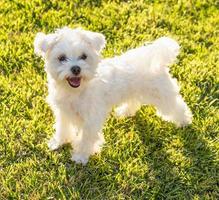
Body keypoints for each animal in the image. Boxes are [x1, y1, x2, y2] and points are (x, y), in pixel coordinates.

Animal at [33, 27, 192, 165]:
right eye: (61, 58)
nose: (76, 69)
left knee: (176, 106)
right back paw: (125, 112)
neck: (76, 92)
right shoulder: (63, 112)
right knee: (134, 102)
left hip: (162, 95)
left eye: (84, 56)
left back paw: (185, 121)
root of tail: (157, 59)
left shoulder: (91, 119)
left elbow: (86, 139)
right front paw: (58, 142)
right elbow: (62, 128)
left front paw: (81, 156)